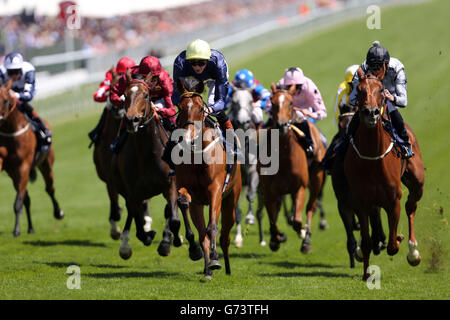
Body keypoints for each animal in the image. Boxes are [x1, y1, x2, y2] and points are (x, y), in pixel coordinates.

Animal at [0, 80, 64, 235]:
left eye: (5, 100)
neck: (11, 131)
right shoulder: (6, 164)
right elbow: (23, 199)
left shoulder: (24, 166)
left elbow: (18, 202)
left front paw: (16, 230)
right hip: (13, 175)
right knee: (27, 198)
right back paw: (30, 227)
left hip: (46, 163)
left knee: (49, 189)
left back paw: (58, 212)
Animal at [110, 70, 199, 260]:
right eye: (125, 95)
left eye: (146, 95)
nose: (132, 120)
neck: (146, 154)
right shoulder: (132, 191)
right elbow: (137, 220)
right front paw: (146, 236)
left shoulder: (170, 185)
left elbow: (174, 219)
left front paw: (182, 244)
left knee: (178, 208)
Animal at [174, 77, 241, 278]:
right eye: (181, 107)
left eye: (200, 108)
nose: (187, 138)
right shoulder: (187, 189)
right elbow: (183, 202)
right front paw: (196, 252)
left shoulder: (216, 189)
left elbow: (212, 227)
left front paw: (215, 259)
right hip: (199, 204)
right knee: (203, 232)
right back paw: (207, 269)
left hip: (230, 200)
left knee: (225, 235)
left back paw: (225, 266)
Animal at [256, 84, 326, 254]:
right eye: (272, 102)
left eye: (291, 103)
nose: (281, 126)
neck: (284, 157)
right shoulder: (269, 191)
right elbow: (273, 219)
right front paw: (276, 239)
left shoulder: (299, 188)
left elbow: (297, 221)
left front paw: (303, 234)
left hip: (317, 179)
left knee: (310, 208)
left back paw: (306, 239)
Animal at [344, 67, 426, 280]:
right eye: (360, 90)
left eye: (381, 89)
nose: (371, 113)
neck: (373, 156)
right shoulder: (361, 202)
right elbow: (366, 242)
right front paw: (366, 273)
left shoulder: (393, 200)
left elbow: (392, 246)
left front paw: (398, 238)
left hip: (417, 182)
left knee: (411, 206)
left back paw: (413, 251)